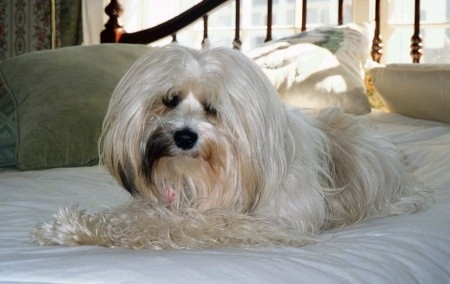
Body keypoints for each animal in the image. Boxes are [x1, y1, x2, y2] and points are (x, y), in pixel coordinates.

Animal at [32, 44, 432, 248]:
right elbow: (140, 213)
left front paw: (83, 230)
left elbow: (174, 224)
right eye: (169, 100)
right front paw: (83, 224)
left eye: (212, 108)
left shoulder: (265, 223)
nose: (184, 137)